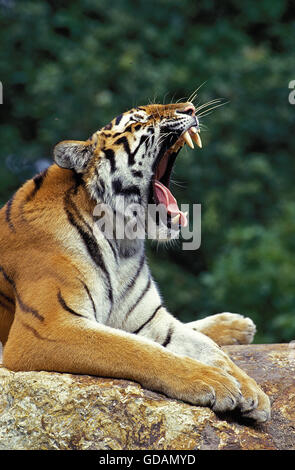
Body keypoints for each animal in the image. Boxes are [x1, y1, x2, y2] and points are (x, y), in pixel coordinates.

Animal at [0, 100, 270, 422]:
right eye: (139, 120)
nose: (190, 108)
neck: (122, 242)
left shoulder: (149, 318)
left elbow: (209, 348)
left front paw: (252, 390)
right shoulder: (47, 327)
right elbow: (137, 350)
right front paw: (212, 381)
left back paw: (237, 326)